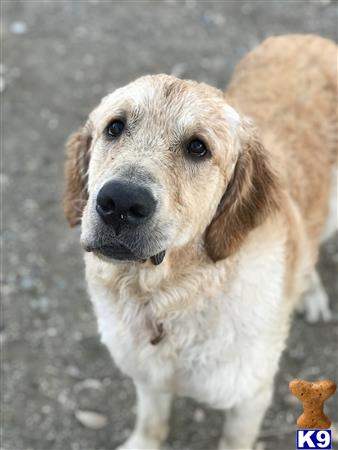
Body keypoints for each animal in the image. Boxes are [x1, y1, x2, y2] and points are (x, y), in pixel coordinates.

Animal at [62, 36, 336, 450]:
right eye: (115, 127)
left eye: (197, 147)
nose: (120, 203)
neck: (162, 299)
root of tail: (309, 38)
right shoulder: (147, 376)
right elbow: (151, 421)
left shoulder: (250, 398)